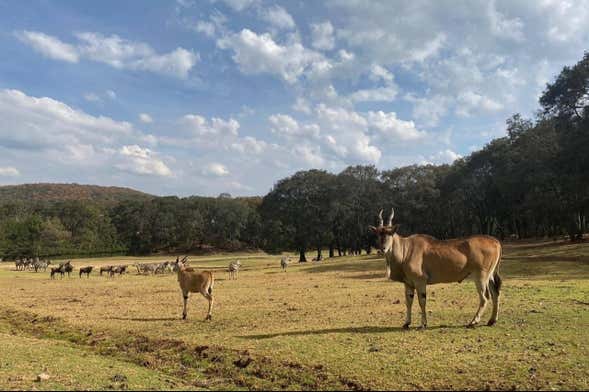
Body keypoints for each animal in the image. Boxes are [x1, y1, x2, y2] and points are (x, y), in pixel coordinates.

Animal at [368, 207, 500, 330]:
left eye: (390, 233)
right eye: (378, 234)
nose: (382, 249)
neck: (406, 250)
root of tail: (496, 242)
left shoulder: (420, 281)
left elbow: (422, 301)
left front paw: (423, 324)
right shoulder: (408, 283)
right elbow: (408, 302)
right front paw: (406, 323)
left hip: (481, 277)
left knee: (485, 298)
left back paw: (473, 322)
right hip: (489, 276)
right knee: (495, 293)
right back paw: (492, 321)